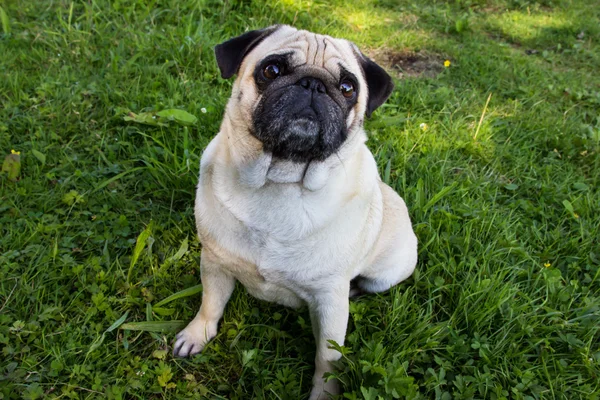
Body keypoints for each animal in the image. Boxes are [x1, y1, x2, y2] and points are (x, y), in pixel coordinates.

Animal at [173, 25, 418, 400]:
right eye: (271, 70)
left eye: (348, 88)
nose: (313, 84)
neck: (280, 183)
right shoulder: (214, 261)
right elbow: (210, 303)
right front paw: (196, 334)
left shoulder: (330, 302)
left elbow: (327, 359)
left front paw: (324, 393)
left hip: (388, 272)